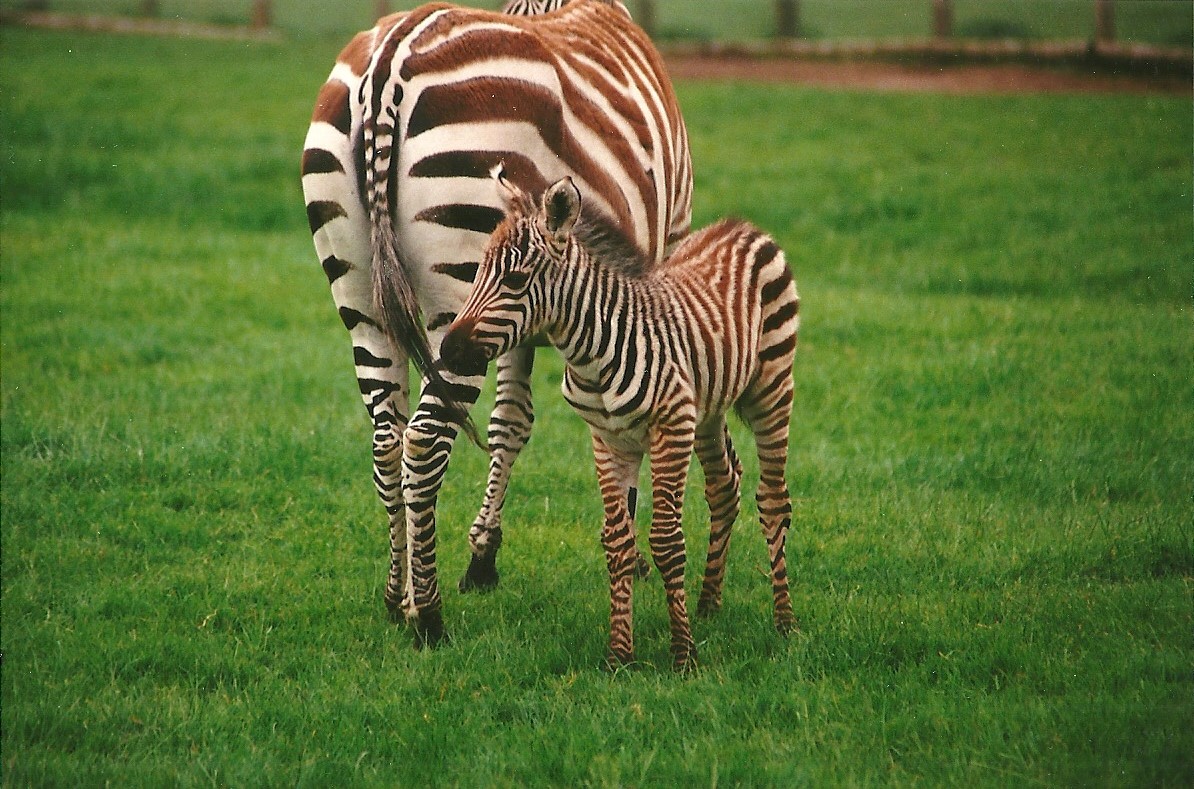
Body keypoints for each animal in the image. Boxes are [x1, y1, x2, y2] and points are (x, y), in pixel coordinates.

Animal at [300, 0, 692, 646]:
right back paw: (429, 617)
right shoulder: (655, 254)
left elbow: (511, 420)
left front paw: (482, 555)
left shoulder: (517, 307)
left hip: (364, 299)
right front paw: (631, 553)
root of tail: (388, 64)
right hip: (456, 286)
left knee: (387, 442)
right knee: (424, 441)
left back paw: (396, 598)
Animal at [440, 171, 800, 670]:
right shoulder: (608, 438)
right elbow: (616, 542)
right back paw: (709, 604)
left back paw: (785, 623)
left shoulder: (671, 427)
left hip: (771, 390)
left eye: (514, 280)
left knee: (773, 500)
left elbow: (666, 541)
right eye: (475, 273)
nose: (447, 352)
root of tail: (743, 226)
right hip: (707, 409)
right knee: (725, 486)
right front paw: (619, 656)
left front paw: (683, 656)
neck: (594, 352)